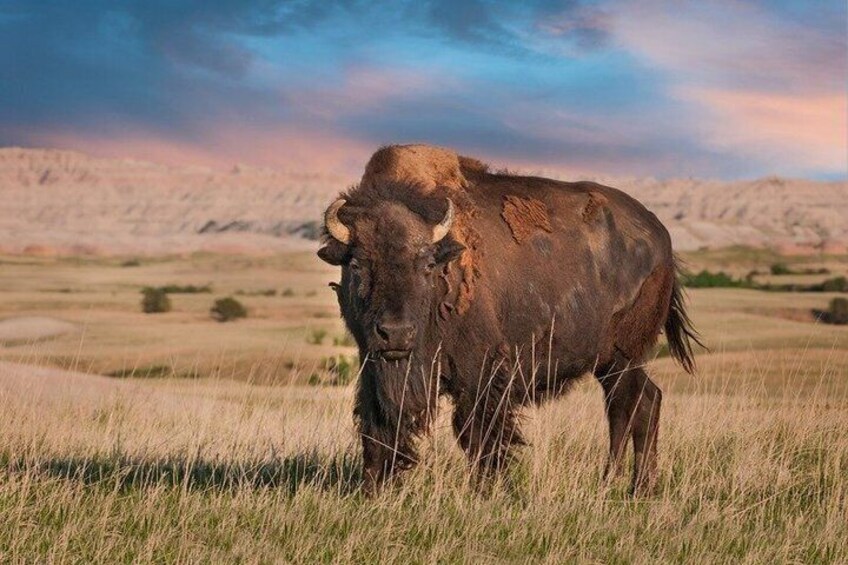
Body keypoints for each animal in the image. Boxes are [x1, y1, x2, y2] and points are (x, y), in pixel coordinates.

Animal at [318, 144, 702, 495]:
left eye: (427, 265)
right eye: (357, 264)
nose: (395, 334)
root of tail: (662, 240)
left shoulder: (481, 372)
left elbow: (478, 432)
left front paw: (487, 489)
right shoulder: (372, 366)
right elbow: (377, 425)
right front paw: (373, 489)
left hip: (623, 358)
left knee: (632, 406)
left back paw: (634, 486)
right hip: (611, 364)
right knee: (638, 404)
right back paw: (621, 484)